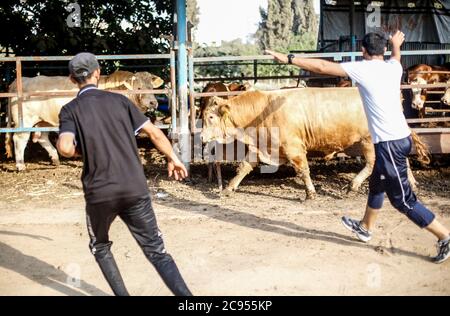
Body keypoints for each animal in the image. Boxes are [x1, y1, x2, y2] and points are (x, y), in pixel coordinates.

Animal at [5, 70, 163, 172]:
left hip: (43, 121)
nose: (153, 103)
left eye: (152, 87)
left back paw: (55, 159)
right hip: (25, 120)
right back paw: (20, 166)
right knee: (19, 138)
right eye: (139, 87)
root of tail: (20, 80)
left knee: (42, 137)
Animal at [200, 87, 428, 199]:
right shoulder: (261, 147)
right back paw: (411, 184)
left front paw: (310, 193)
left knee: (372, 164)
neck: (263, 110)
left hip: (369, 141)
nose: (201, 137)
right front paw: (228, 189)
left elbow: (303, 170)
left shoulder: (294, 147)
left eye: (210, 117)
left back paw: (352, 186)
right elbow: (244, 167)